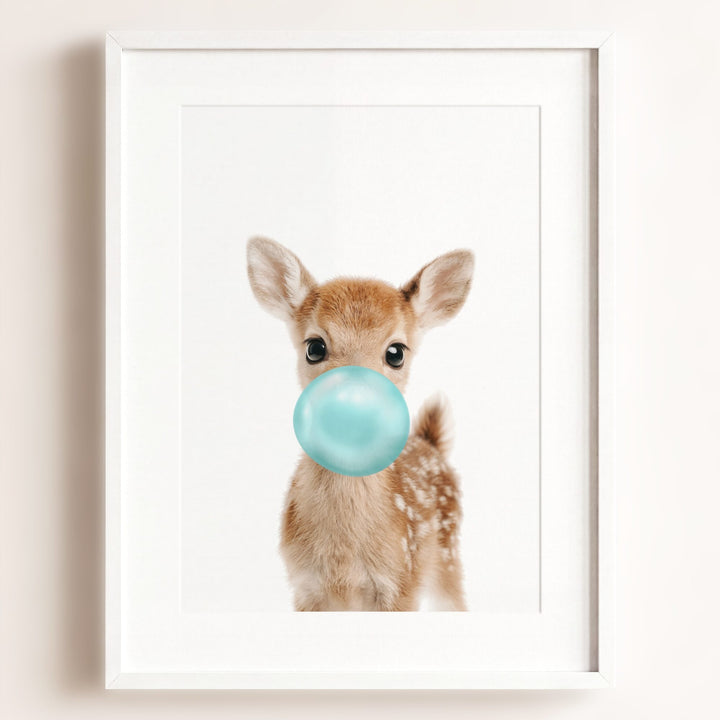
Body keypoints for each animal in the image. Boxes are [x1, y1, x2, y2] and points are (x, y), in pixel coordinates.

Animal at [246, 236, 474, 611]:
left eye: (396, 352)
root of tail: (430, 442)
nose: (353, 404)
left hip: (448, 557)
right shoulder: (304, 587)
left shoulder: (401, 584)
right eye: (315, 347)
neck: (343, 561)